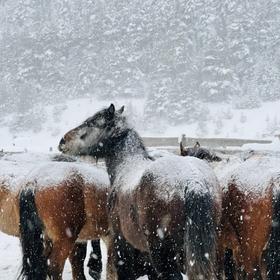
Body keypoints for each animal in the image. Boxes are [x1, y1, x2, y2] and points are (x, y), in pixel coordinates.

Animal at [59, 104, 223, 280]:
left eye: (92, 122)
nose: (63, 141)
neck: (127, 166)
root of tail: (193, 182)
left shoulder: (121, 245)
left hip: (163, 255)